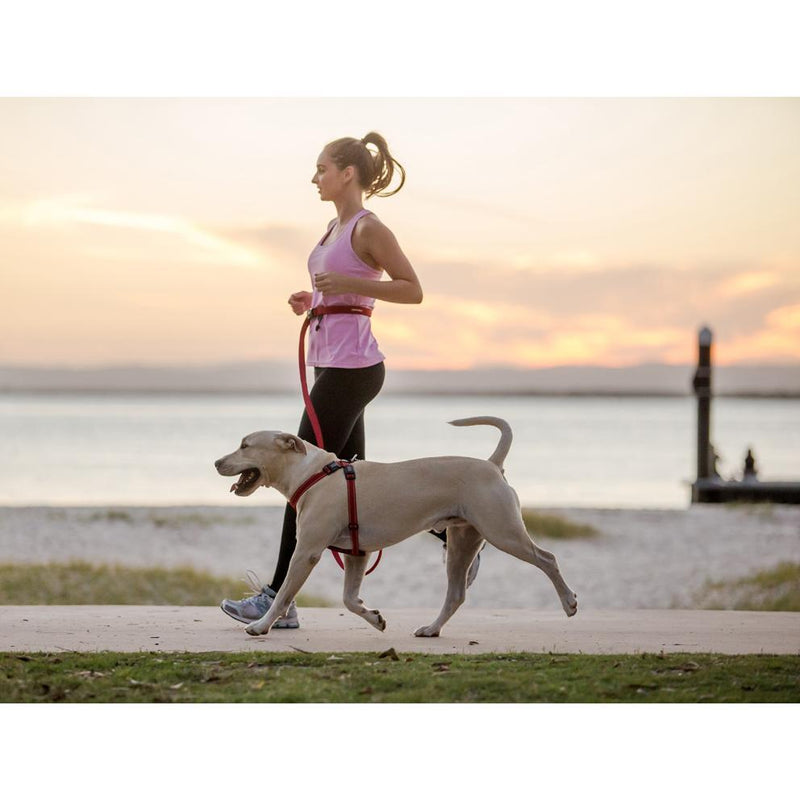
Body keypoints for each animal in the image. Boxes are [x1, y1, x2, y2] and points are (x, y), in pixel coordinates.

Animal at [214, 418, 576, 636]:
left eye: (245, 445)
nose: (216, 462)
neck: (313, 473)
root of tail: (492, 465)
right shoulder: (357, 553)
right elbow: (349, 599)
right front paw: (374, 617)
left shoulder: (306, 552)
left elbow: (285, 594)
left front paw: (260, 626)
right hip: (462, 540)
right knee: (456, 593)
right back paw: (431, 629)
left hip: (502, 531)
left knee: (547, 559)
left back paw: (569, 602)